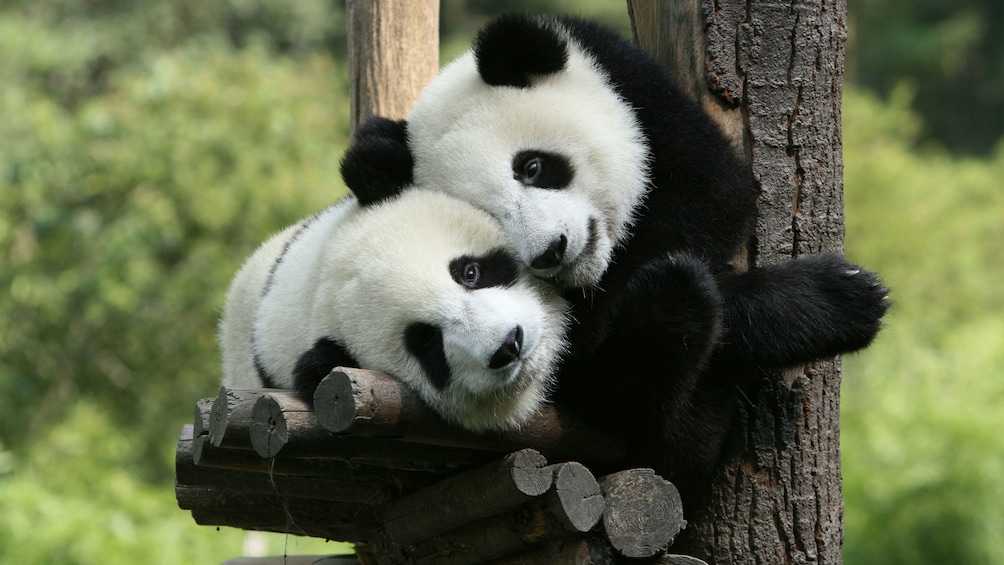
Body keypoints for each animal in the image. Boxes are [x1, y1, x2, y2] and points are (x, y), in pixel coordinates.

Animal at [341, 14, 891, 503]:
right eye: (489, 217)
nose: (551, 251)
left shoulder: (640, 96)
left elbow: (713, 196)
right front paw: (837, 299)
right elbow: (597, 358)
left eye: (533, 167)